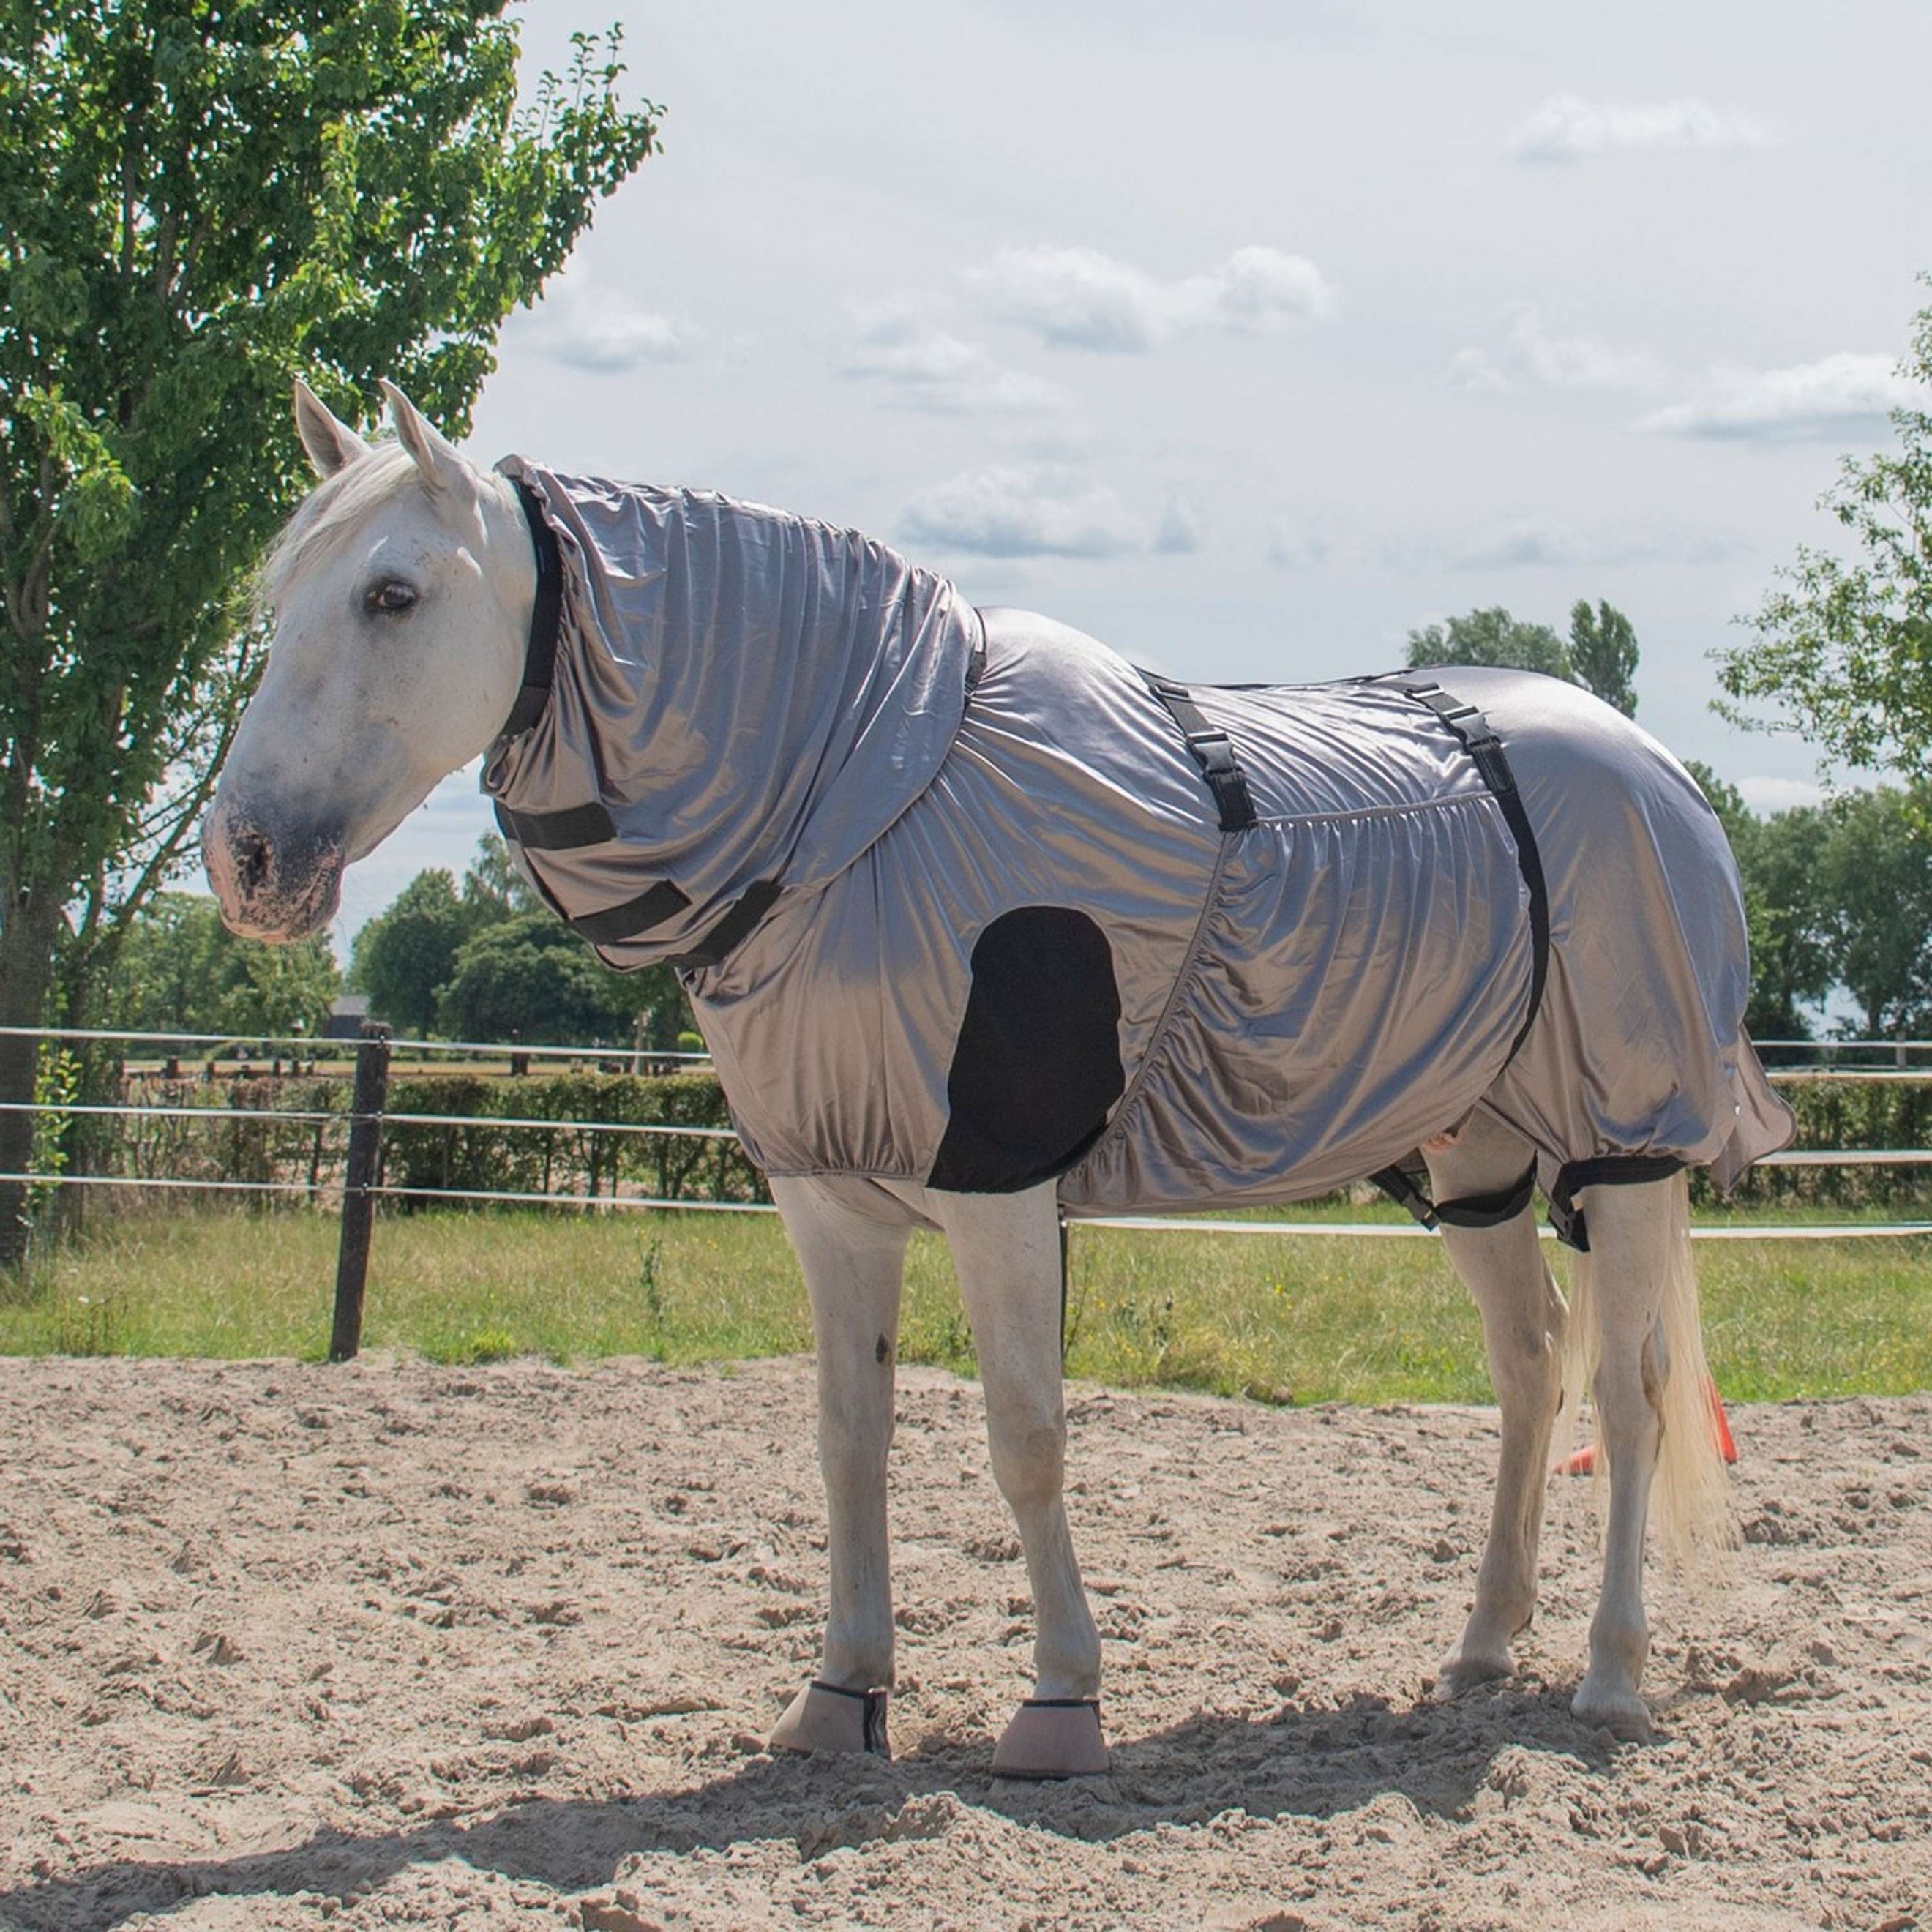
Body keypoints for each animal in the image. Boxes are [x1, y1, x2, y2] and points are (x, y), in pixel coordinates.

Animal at [205, 379, 1792, 1777]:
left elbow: (1025, 1437)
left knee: (1631, 1393)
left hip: (1625, 1145)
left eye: (393, 594)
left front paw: (1061, 1704)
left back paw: (1608, 1674)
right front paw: (839, 1698)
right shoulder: (829, 1196)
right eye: (278, 598)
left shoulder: (997, 1183)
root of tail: (1653, 772)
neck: (863, 799)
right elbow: (849, 1442)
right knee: (1530, 1372)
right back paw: (1480, 1648)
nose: (248, 861)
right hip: (1471, 1157)